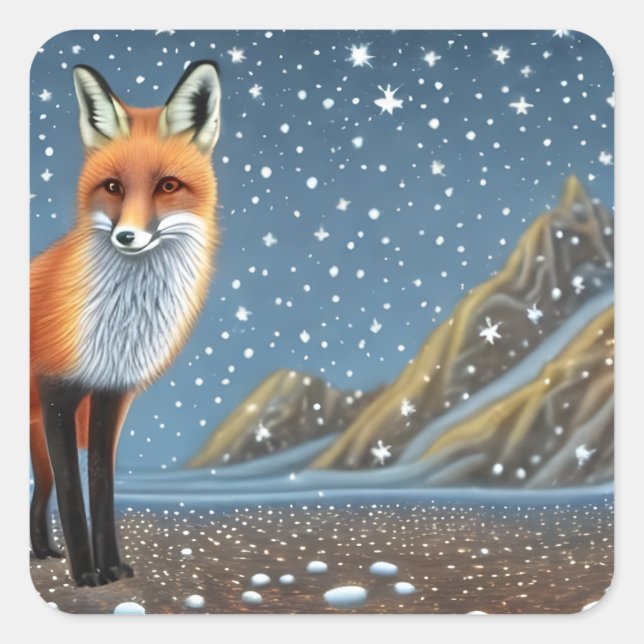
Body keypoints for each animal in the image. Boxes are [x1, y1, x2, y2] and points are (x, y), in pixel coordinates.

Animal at [30, 61, 222, 586]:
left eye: (168, 186)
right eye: (113, 187)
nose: (127, 237)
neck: (120, 327)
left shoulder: (109, 395)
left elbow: (102, 486)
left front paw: (111, 565)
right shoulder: (57, 393)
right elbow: (73, 496)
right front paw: (86, 575)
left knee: (36, 496)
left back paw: (41, 551)